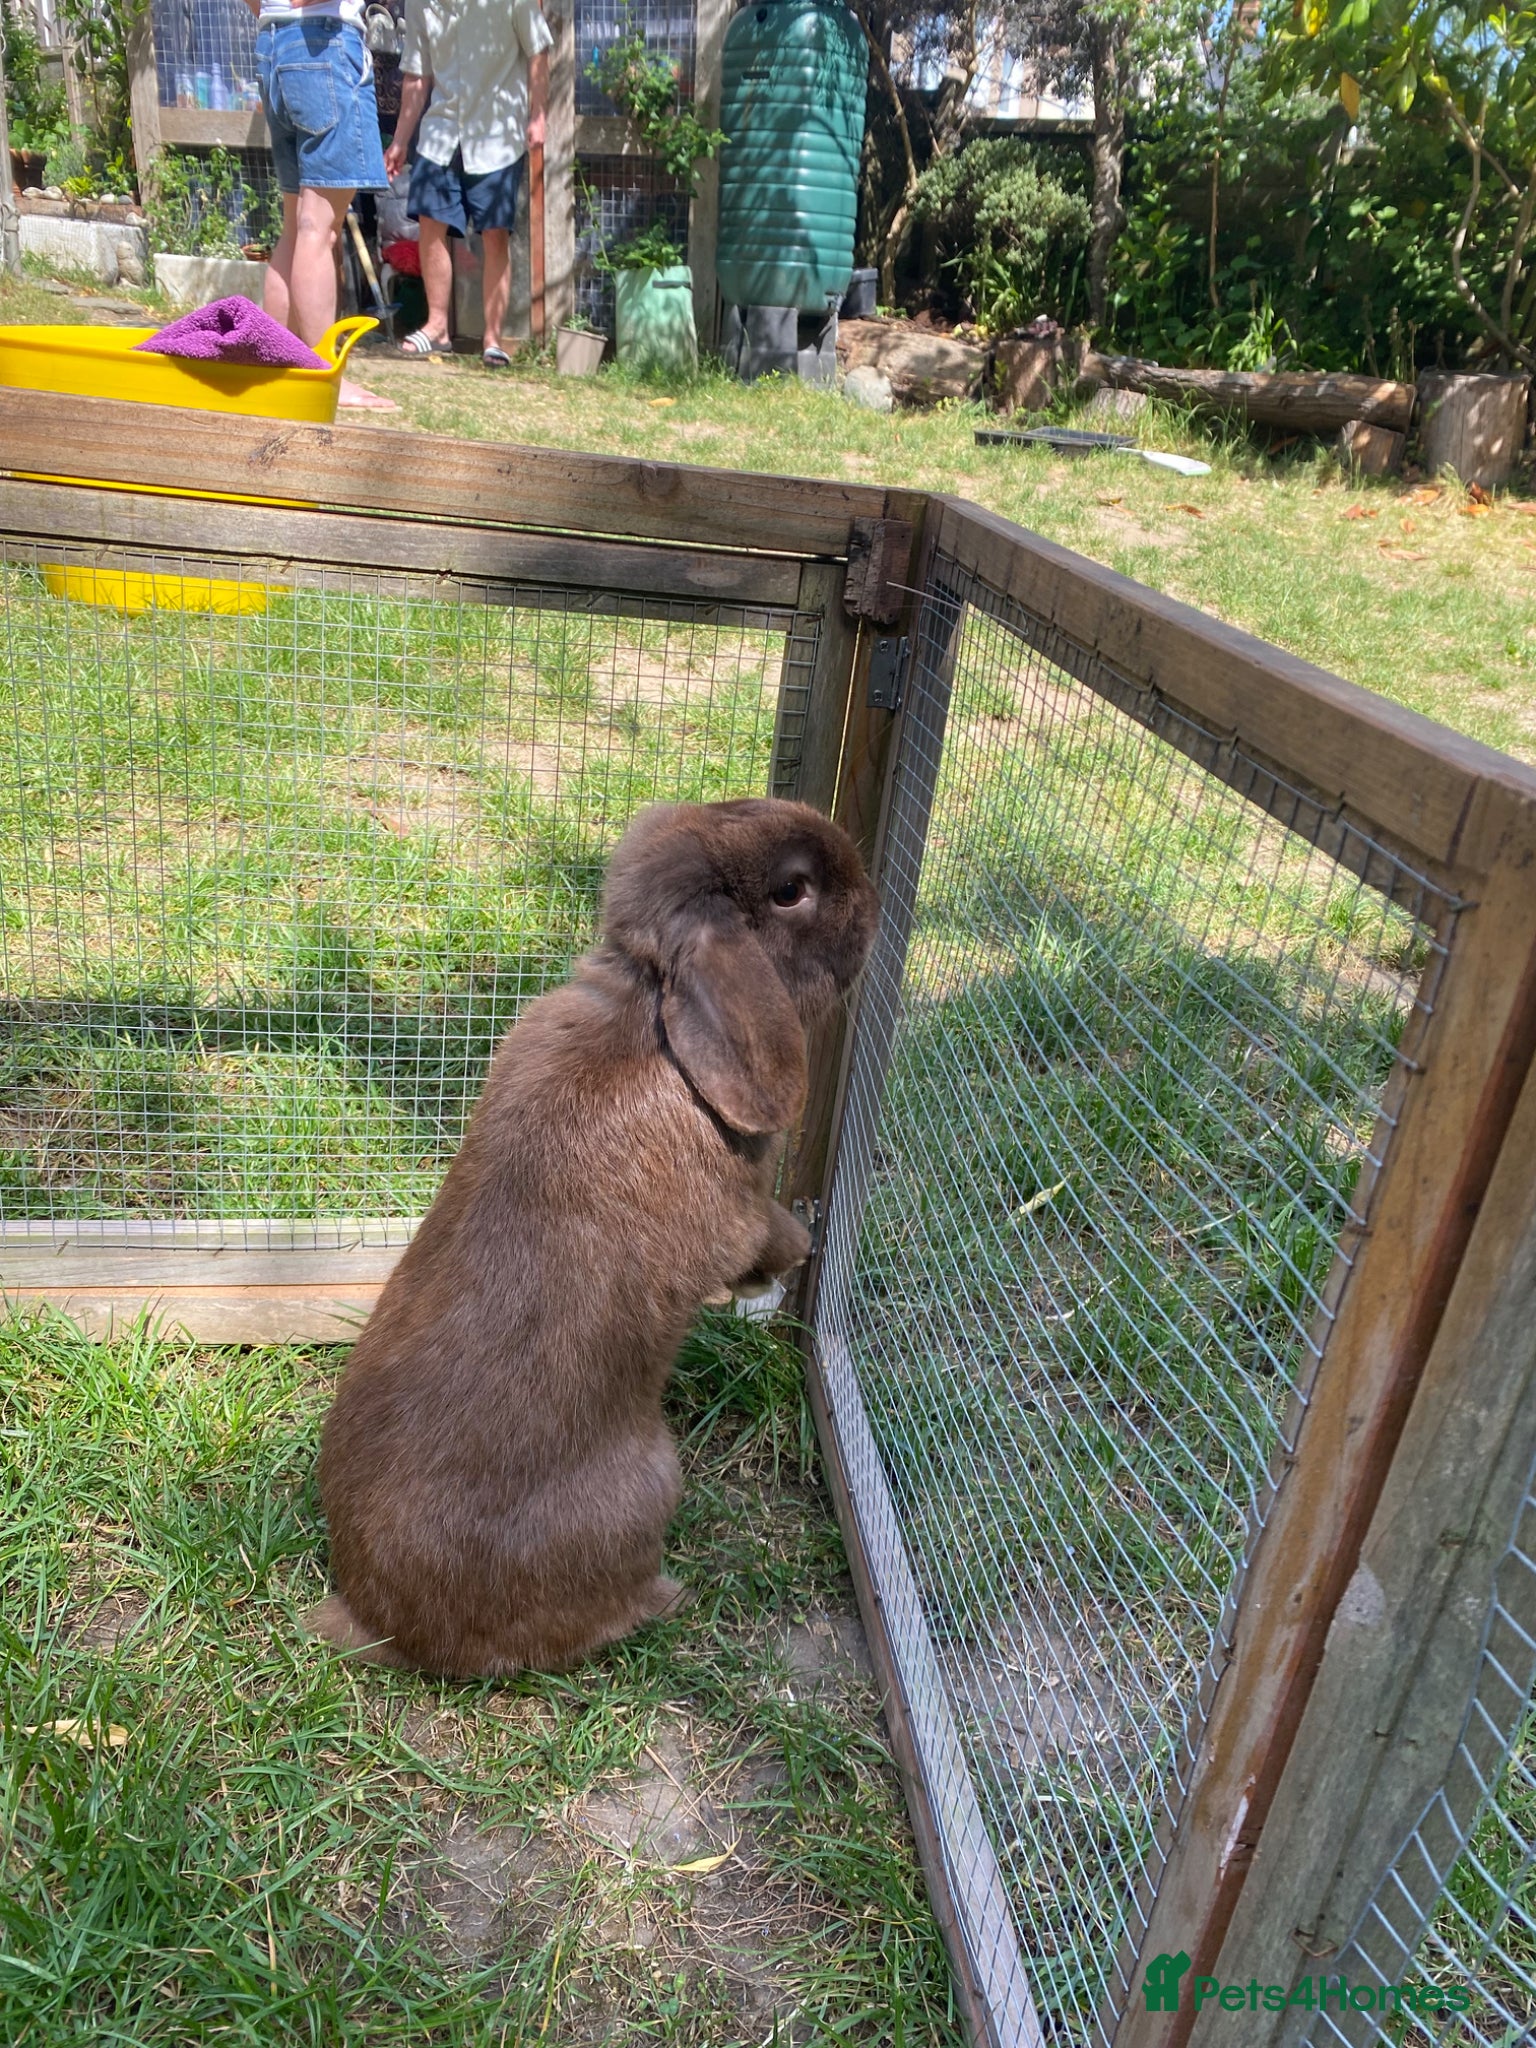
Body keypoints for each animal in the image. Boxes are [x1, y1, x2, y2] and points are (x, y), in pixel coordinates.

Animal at [309, 797, 880, 1678]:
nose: (877, 901)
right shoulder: (737, 1216)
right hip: (651, 1483)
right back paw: (670, 1598)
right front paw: (793, 1255)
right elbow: (763, 1237)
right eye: (793, 892)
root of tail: (384, 1624)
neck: (649, 1017)